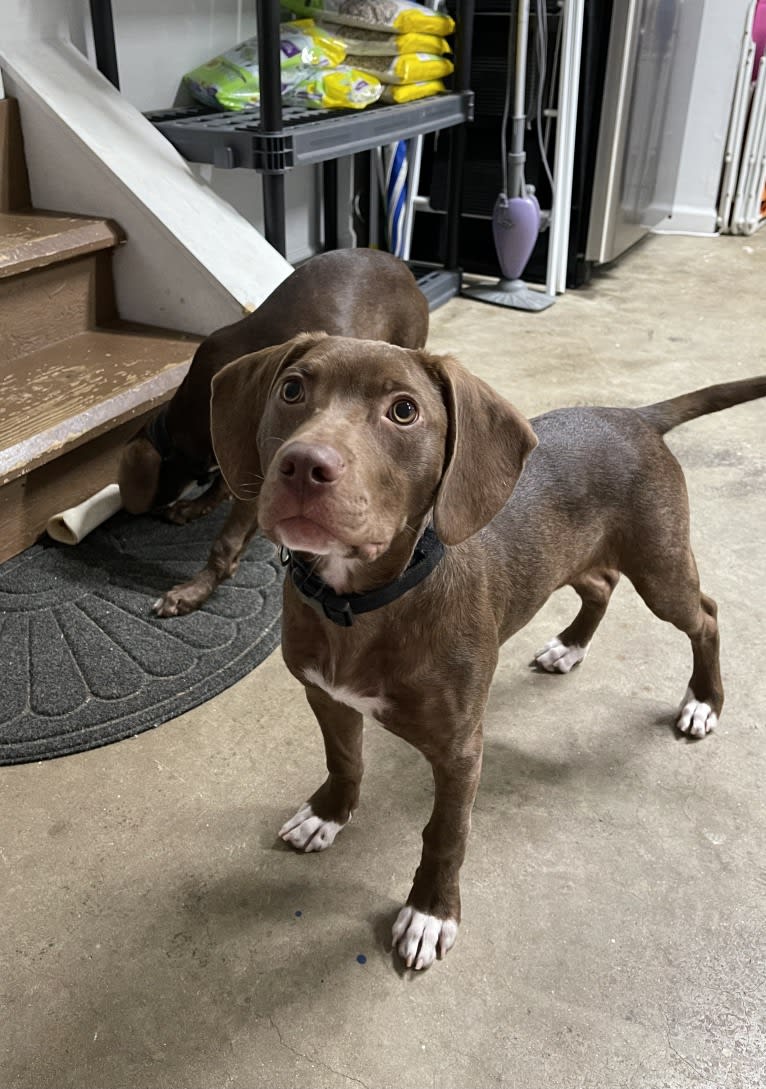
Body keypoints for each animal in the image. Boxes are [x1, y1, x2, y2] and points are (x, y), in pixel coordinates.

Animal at [114, 249, 429, 618]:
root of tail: (401, 266)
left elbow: (226, 541)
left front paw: (194, 590)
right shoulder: (236, 454)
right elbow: (222, 484)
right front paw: (195, 507)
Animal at [209, 331, 766, 971]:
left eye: (404, 411)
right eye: (292, 389)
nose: (303, 464)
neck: (362, 603)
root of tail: (633, 416)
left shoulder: (459, 751)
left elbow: (445, 834)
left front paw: (430, 911)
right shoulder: (326, 696)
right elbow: (344, 760)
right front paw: (329, 814)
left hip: (660, 567)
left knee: (706, 616)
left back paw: (703, 701)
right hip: (574, 557)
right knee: (601, 585)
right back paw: (570, 646)